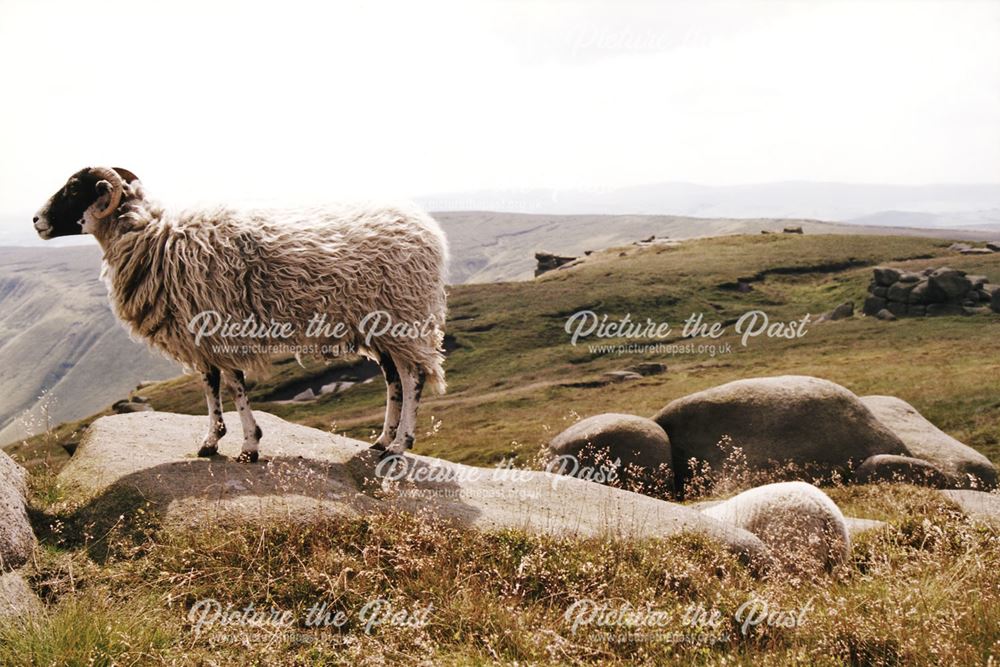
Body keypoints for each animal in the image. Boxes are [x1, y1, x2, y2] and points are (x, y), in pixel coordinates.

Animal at [34, 166, 450, 464]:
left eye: (74, 189)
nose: (37, 221)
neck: (155, 237)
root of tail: (428, 228)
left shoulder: (220, 327)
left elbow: (234, 387)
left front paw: (249, 445)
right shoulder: (200, 333)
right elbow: (210, 385)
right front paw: (211, 441)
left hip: (403, 317)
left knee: (413, 377)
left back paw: (400, 445)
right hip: (378, 327)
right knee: (394, 379)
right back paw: (381, 441)